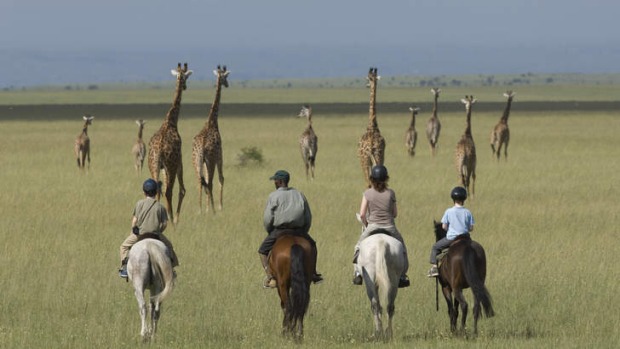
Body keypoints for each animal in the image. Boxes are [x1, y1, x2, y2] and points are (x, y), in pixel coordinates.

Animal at [147, 61, 191, 223]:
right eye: (186, 77)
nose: (185, 86)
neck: (171, 121)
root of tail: (159, 149)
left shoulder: (162, 166)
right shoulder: (178, 160)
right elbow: (181, 189)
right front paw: (175, 218)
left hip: (153, 164)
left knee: (156, 189)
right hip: (170, 165)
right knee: (168, 191)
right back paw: (171, 220)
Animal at [191, 64, 230, 213]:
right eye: (225, 77)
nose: (227, 84)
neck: (212, 121)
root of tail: (201, 147)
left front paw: (207, 207)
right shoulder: (220, 155)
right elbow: (221, 178)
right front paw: (219, 206)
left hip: (196, 162)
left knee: (200, 181)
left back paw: (200, 209)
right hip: (210, 160)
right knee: (210, 182)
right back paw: (212, 210)